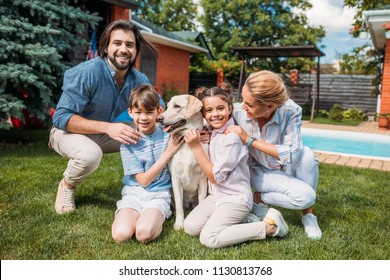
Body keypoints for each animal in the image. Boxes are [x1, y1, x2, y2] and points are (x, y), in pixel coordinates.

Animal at [158, 94, 209, 230]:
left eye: (177, 106)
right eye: (167, 106)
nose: (158, 119)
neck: (187, 142)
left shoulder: (202, 179)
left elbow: (201, 203)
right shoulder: (176, 179)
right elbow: (179, 207)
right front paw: (179, 224)